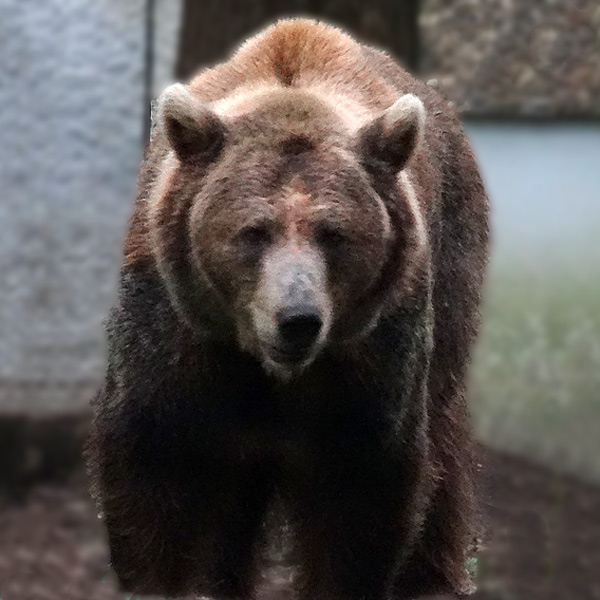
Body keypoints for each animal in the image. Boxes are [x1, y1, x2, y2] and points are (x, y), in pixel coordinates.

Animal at [85, 17, 488, 600]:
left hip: (453, 277)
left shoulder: (371, 355)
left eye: (333, 233)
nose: (297, 319)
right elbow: (154, 471)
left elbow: (361, 498)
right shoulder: (178, 338)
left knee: (442, 457)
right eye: (253, 230)